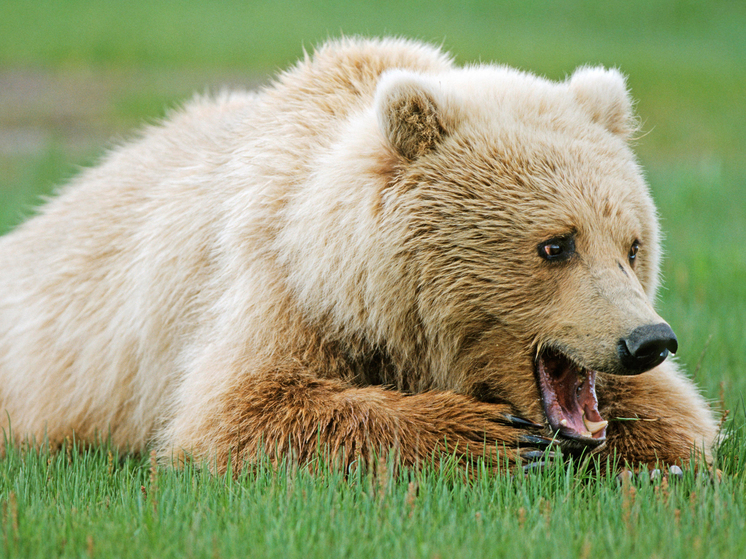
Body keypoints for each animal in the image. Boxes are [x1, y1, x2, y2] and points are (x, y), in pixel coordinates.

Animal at [0, 36, 716, 472]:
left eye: (632, 245)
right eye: (556, 244)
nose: (647, 340)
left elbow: (681, 416)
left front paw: (654, 452)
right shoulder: (278, 288)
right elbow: (236, 412)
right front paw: (491, 436)